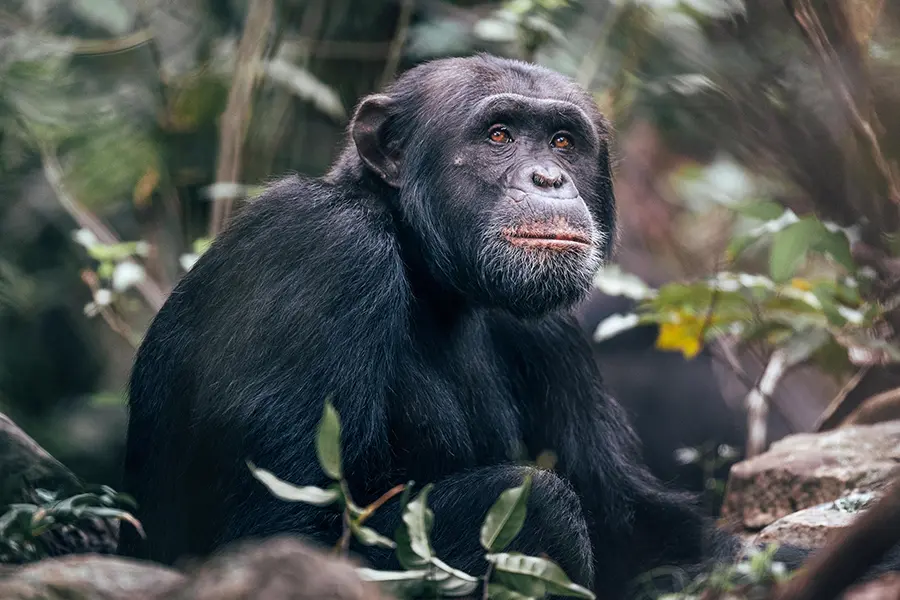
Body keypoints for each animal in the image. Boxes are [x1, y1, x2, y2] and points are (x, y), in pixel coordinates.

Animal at [116, 55, 888, 596]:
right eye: (498, 134)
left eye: (562, 140)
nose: (549, 178)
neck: (428, 271)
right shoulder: (320, 253)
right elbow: (283, 536)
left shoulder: (549, 329)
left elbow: (633, 527)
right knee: (538, 503)